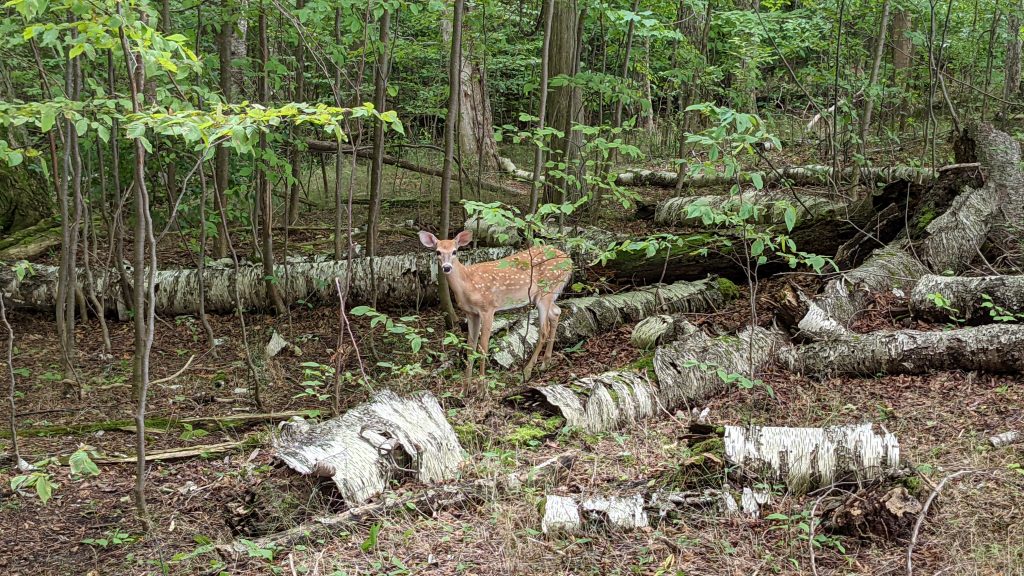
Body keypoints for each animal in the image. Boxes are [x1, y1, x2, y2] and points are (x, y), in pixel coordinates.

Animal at [419, 229, 573, 386]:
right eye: (437, 251)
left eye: (455, 251)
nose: (447, 267)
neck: (468, 283)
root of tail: (570, 260)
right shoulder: (471, 313)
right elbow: (470, 348)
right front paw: (466, 387)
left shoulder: (488, 308)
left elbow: (483, 347)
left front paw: (481, 385)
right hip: (545, 294)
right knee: (556, 312)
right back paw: (545, 363)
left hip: (546, 290)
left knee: (543, 330)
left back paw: (527, 371)